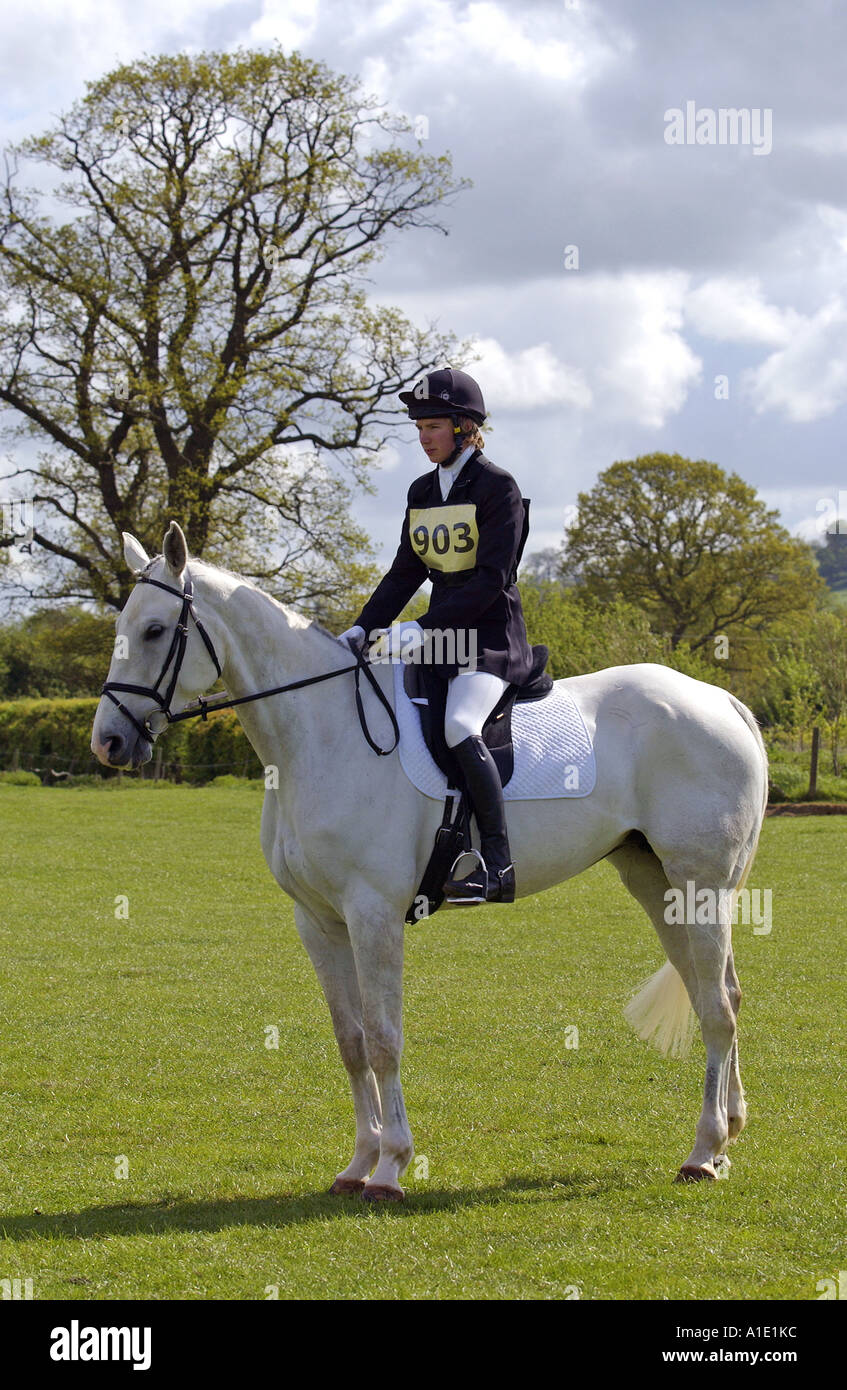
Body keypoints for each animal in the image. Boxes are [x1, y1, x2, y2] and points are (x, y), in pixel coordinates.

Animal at [91, 522, 769, 1199]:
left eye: (155, 630)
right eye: (122, 627)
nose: (109, 742)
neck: (321, 734)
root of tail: (719, 701)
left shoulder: (373, 915)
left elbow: (384, 1039)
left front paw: (391, 1167)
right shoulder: (318, 921)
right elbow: (351, 1040)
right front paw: (358, 1163)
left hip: (701, 886)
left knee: (716, 1008)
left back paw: (703, 1151)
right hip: (656, 883)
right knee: (720, 994)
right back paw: (728, 1136)